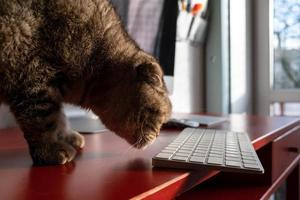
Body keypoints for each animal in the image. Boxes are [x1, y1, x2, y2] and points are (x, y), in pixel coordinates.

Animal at [0, 0, 171, 165]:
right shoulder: (32, 76)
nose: (158, 135)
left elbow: (60, 116)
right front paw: (50, 150)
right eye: (159, 116)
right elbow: (43, 121)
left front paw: (66, 136)